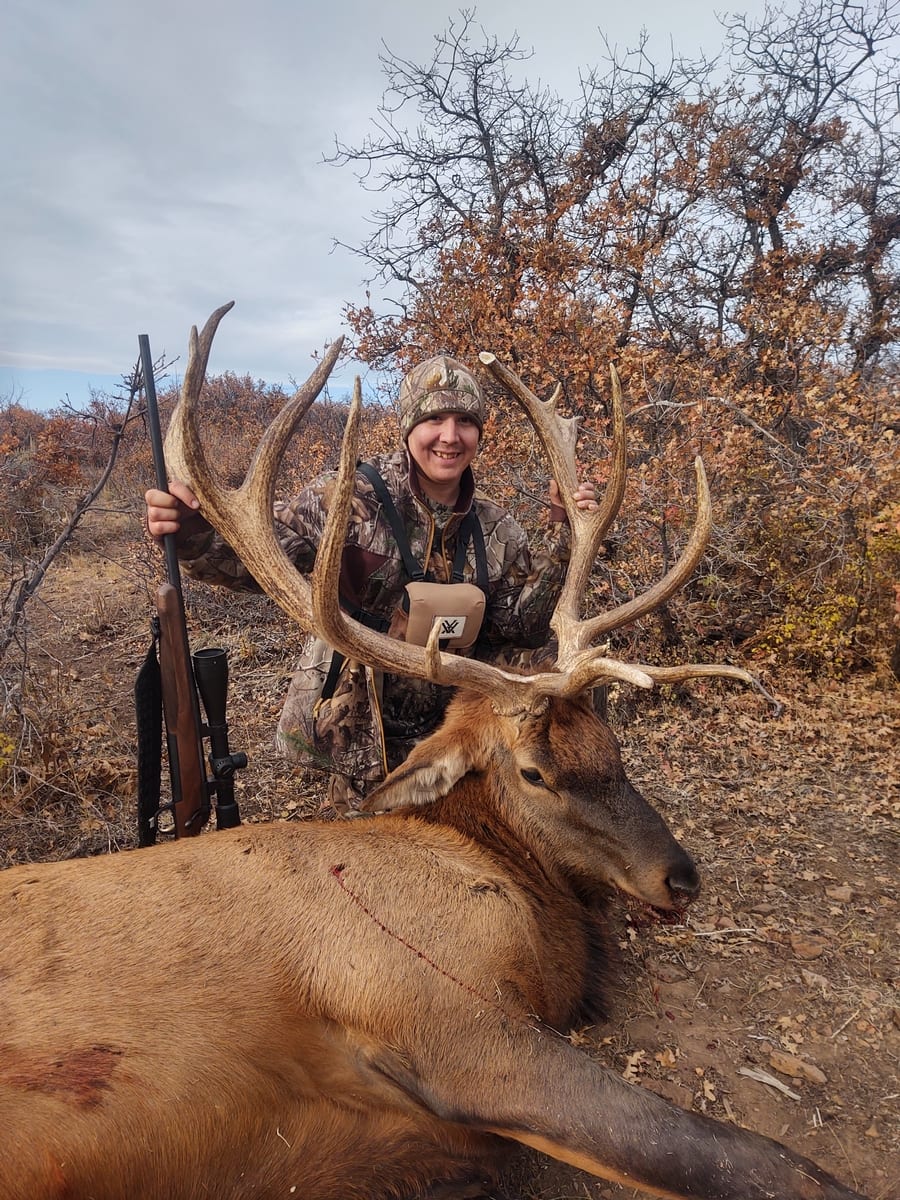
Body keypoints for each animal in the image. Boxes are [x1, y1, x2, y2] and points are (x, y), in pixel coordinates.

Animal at [0, 304, 867, 1200]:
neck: (506, 880)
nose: (682, 878)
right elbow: (746, 1156)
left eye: (614, 744)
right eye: (534, 772)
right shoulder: (442, 1012)